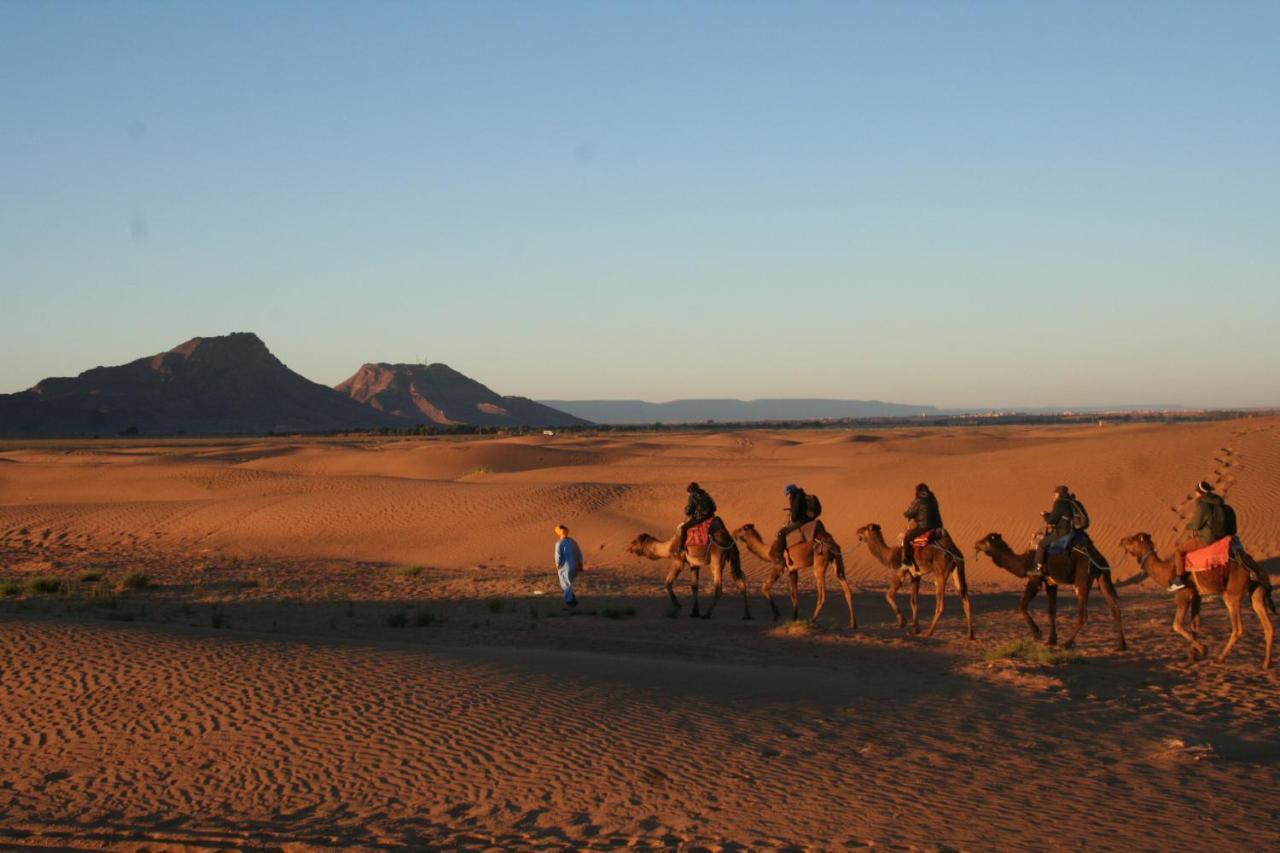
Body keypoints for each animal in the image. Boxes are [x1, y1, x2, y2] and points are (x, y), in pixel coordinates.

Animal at [972, 527, 1126, 648]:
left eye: (985, 540)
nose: (975, 544)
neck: (1024, 562)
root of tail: (1098, 558)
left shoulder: (1035, 578)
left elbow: (1022, 604)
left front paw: (1037, 634)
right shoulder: (1051, 583)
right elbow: (1051, 611)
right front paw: (1051, 641)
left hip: (1082, 578)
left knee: (1083, 614)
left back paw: (1067, 644)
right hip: (1103, 577)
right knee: (1115, 609)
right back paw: (1122, 645)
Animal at [1121, 532, 1269, 666]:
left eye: (1132, 539)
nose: (1122, 540)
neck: (1168, 570)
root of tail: (1249, 563)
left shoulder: (1185, 592)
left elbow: (1176, 625)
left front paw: (1203, 649)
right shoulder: (1197, 595)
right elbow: (1195, 625)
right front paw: (1192, 657)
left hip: (1232, 593)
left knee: (1238, 629)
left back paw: (1219, 659)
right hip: (1256, 591)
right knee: (1267, 625)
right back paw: (1266, 664)